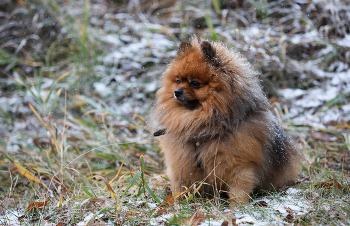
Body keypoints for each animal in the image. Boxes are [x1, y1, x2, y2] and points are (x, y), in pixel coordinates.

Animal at [152, 36, 300, 204]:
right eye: (178, 81)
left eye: (195, 83)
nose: (177, 92)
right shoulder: (182, 164)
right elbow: (181, 185)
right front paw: (179, 203)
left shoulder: (240, 166)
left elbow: (238, 190)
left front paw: (237, 207)